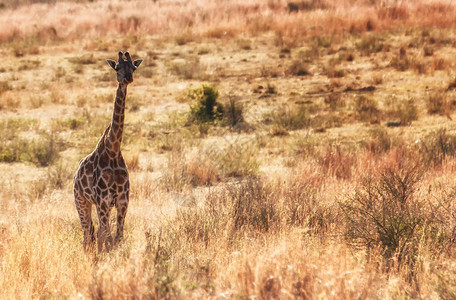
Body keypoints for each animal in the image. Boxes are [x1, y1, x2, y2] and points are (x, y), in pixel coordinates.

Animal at [73, 51, 142, 253]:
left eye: (133, 67)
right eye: (117, 67)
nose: (128, 78)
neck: (113, 150)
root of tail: (75, 175)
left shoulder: (122, 200)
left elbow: (117, 237)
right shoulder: (103, 201)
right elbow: (108, 237)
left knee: (95, 234)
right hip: (81, 201)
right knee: (88, 235)